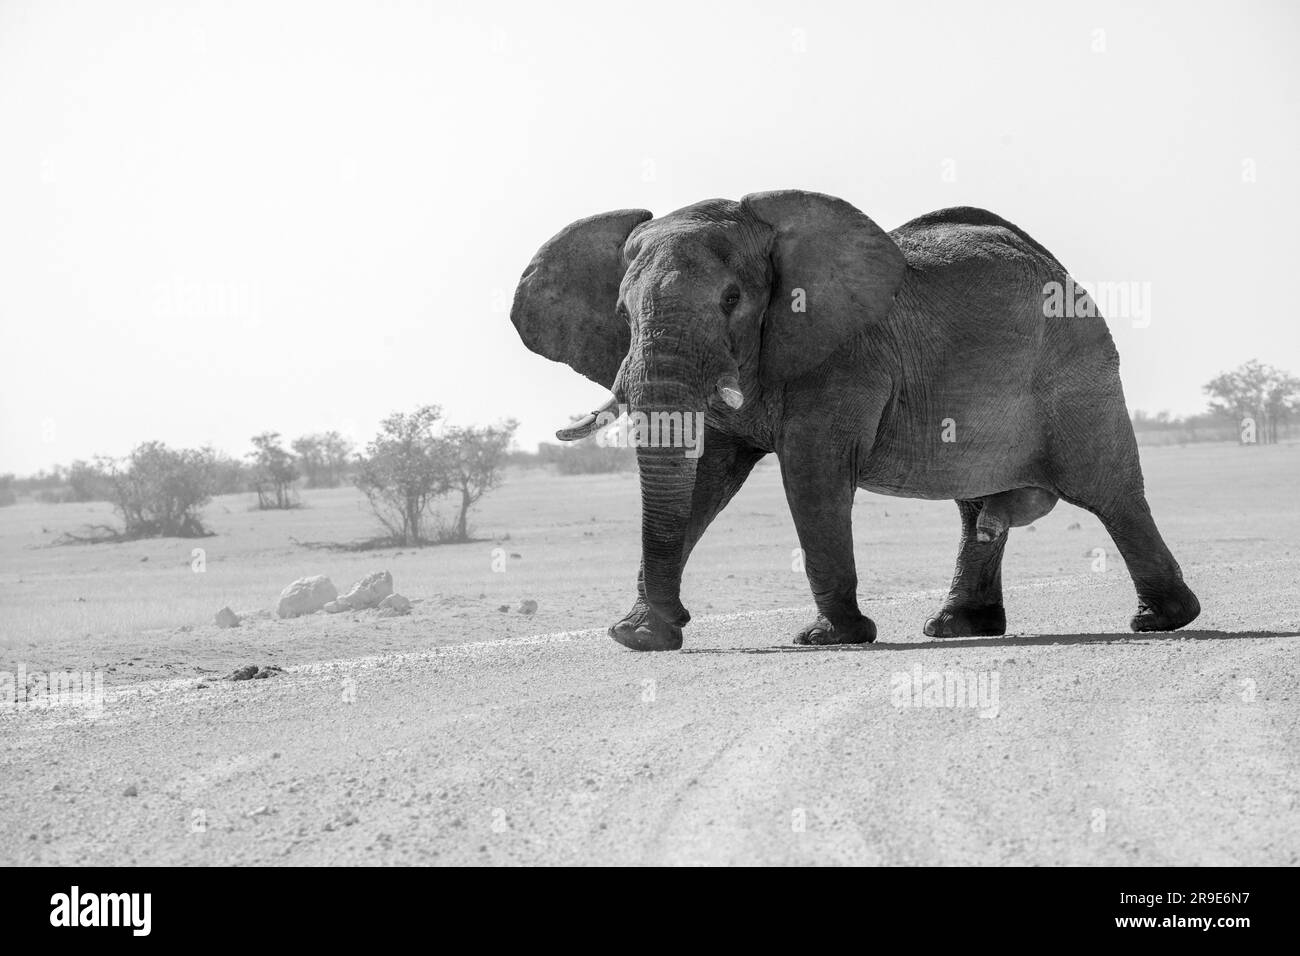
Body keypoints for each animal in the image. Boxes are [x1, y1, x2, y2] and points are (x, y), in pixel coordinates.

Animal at [506, 188, 1196, 650]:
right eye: (623, 313)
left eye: (732, 300)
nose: (657, 629)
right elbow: (703, 480)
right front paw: (639, 635)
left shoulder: (846, 358)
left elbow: (812, 474)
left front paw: (830, 638)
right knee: (976, 508)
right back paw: (956, 627)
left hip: (1077, 370)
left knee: (1108, 492)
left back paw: (1161, 621)